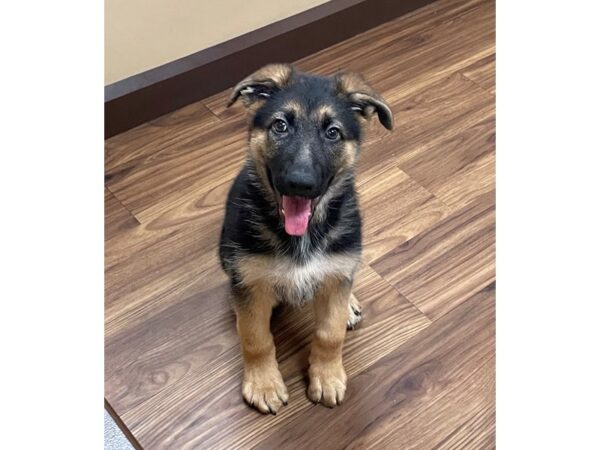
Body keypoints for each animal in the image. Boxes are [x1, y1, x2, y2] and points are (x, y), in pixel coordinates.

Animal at [220, 64, 394, 414]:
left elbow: (330, 333)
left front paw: (326, 376)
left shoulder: (339, 268)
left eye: (333, 133)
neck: (302, 235)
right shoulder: (250, 283)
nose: (300, 184)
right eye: (281, 125)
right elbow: (255, 338)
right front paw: (263, 383)